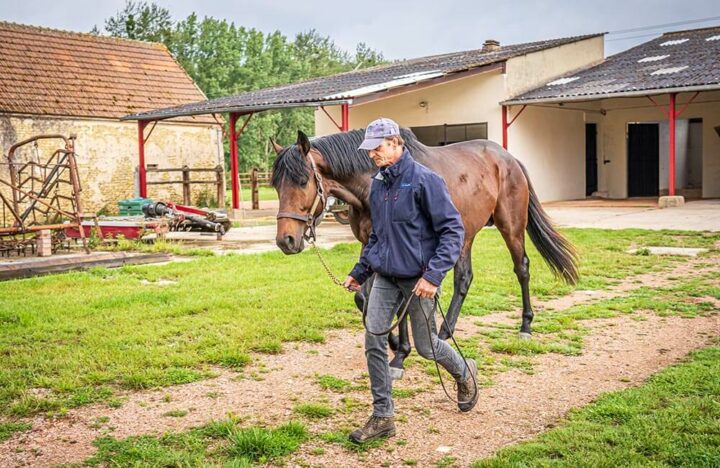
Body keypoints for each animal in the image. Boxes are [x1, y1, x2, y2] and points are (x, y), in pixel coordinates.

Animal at [272, 129, 580, 376]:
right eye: (276, 185)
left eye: (303, 181)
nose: (286, 240)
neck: (373, 183)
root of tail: (509, 159)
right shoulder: (372, 246)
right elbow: (365, 298)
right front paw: (392, 341)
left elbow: (399, 302)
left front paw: (399, 354)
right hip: (464, 236)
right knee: (464, 279)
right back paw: (444, 332)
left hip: (511, 226)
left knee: (522, 268)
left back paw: (525, 326)